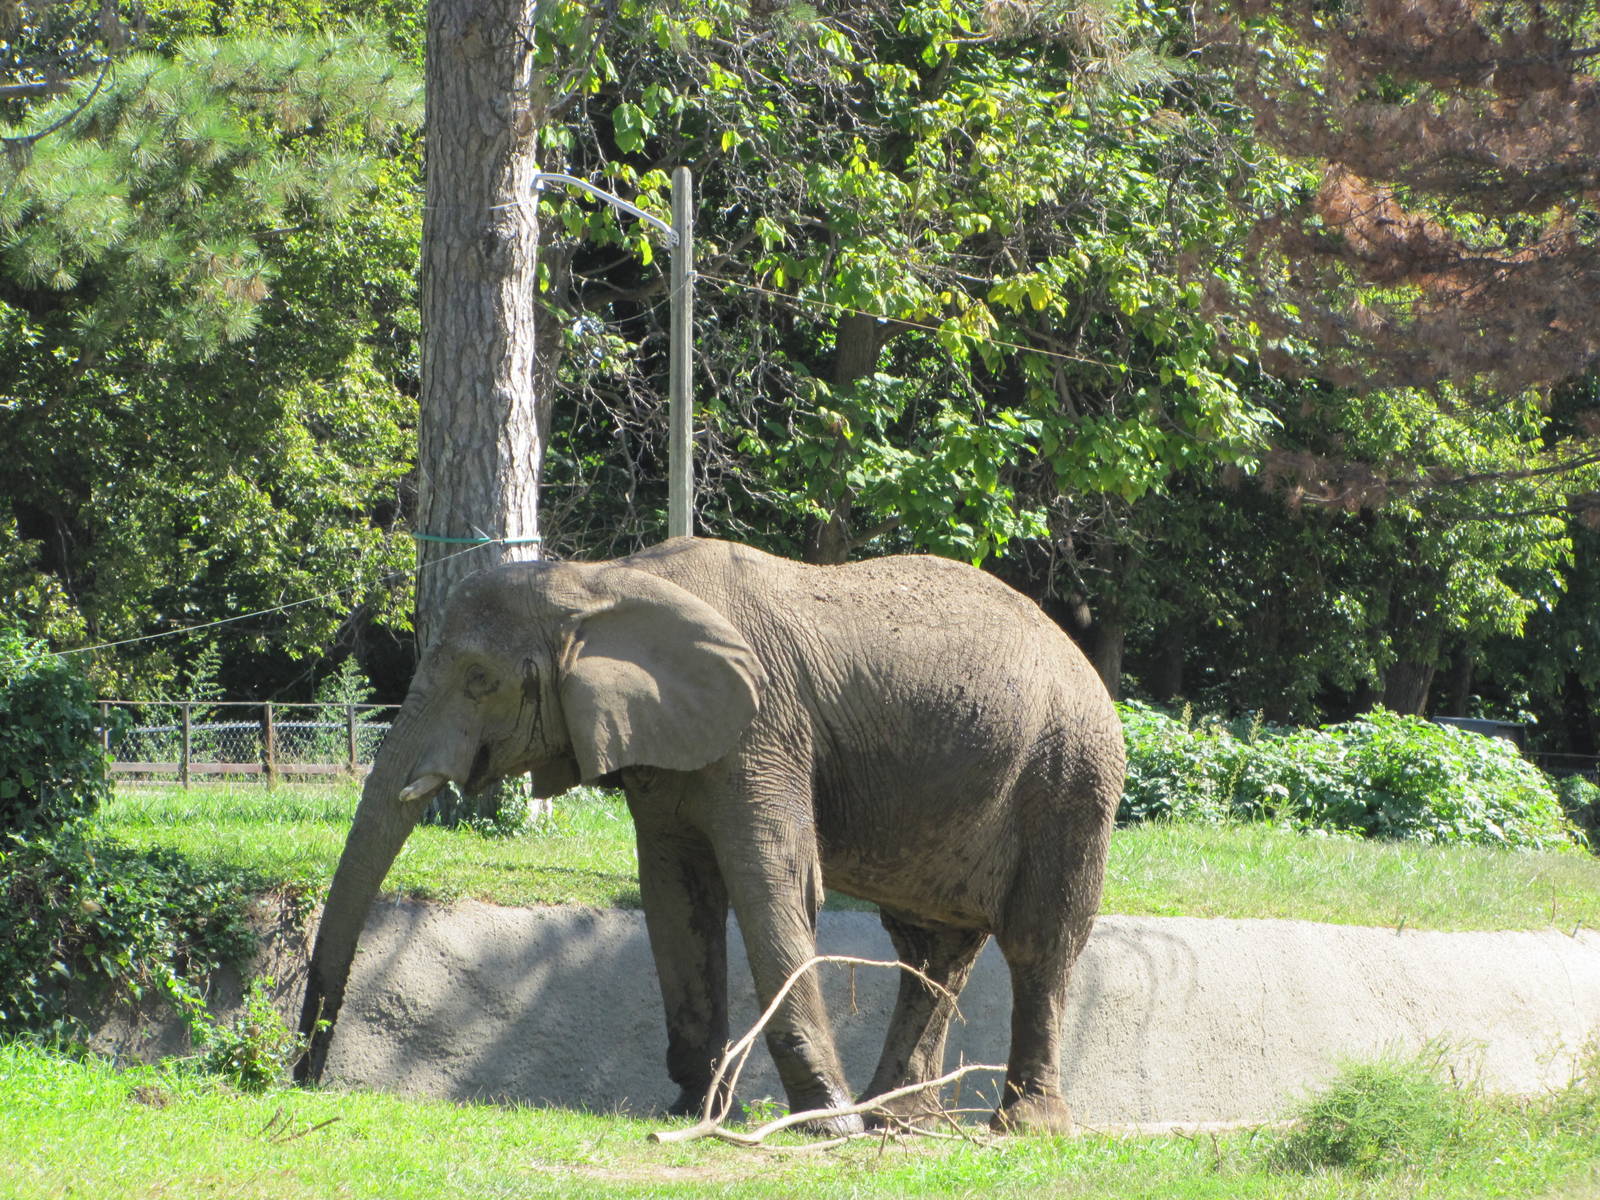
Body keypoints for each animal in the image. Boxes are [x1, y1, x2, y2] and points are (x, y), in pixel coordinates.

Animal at [295, 537, 1125, 1135]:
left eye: (477, 679)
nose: (301, 1076)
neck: (601, 581)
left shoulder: (763, 725)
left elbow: (773, 883)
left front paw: (827, 1127)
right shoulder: (668, 746)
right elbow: (675, 894)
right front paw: (693, 1111)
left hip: (1069, 778)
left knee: (1038, 944)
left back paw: (1021, 1128)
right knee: (931, 951)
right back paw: (897, 1120)